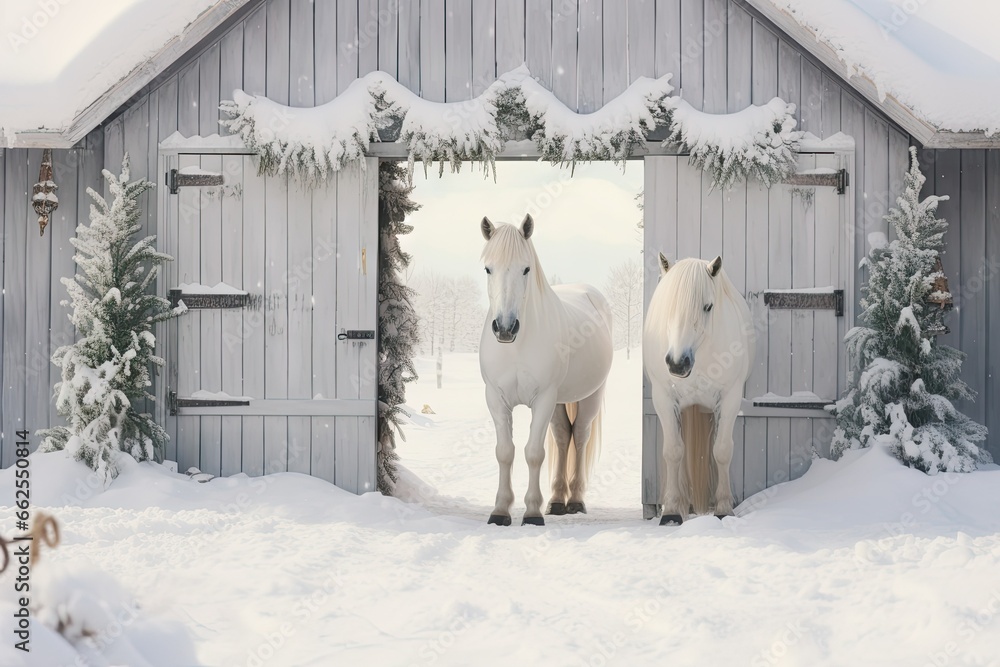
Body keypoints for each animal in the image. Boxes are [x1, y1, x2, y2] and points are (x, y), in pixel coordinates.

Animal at [474, 215, 608, 528]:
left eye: (526, 269)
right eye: (488, 268)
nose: (505, 328)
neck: (516, 347)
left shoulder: (543, 399)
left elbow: (534, 454)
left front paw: (532, 513)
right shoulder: (496, 399)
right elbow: (505, 452)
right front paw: (500, 510)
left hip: (590, 396)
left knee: (579, 436)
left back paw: (576, 500)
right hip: (559, 402)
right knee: (562, 437)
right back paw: (557, 501)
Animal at [644, 253, 752, 524]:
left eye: (708, 307)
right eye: (668, 305)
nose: (677, 363)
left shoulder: (729, 398)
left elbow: (722, 451)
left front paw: (724, 508)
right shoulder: (664, 398)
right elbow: (673, 452)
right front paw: (671, 511)